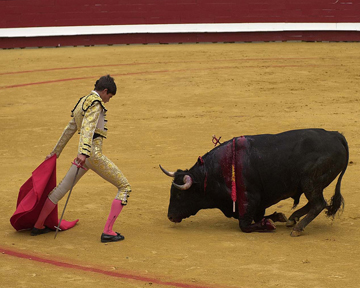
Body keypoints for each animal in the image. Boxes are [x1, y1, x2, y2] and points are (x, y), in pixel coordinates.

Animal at [160, 129, 348, 236]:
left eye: (179, 194)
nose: (170, 216)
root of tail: (336, 135)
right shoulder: (257, 203)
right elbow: (259, 215)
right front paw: (277, 217)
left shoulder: (250, 199)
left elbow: (244, 225)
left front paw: (269, 224)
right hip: (309, 184)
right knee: (315, 203)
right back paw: (292, 219)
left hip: (310, 181)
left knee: (319, 203)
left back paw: (297, 228)